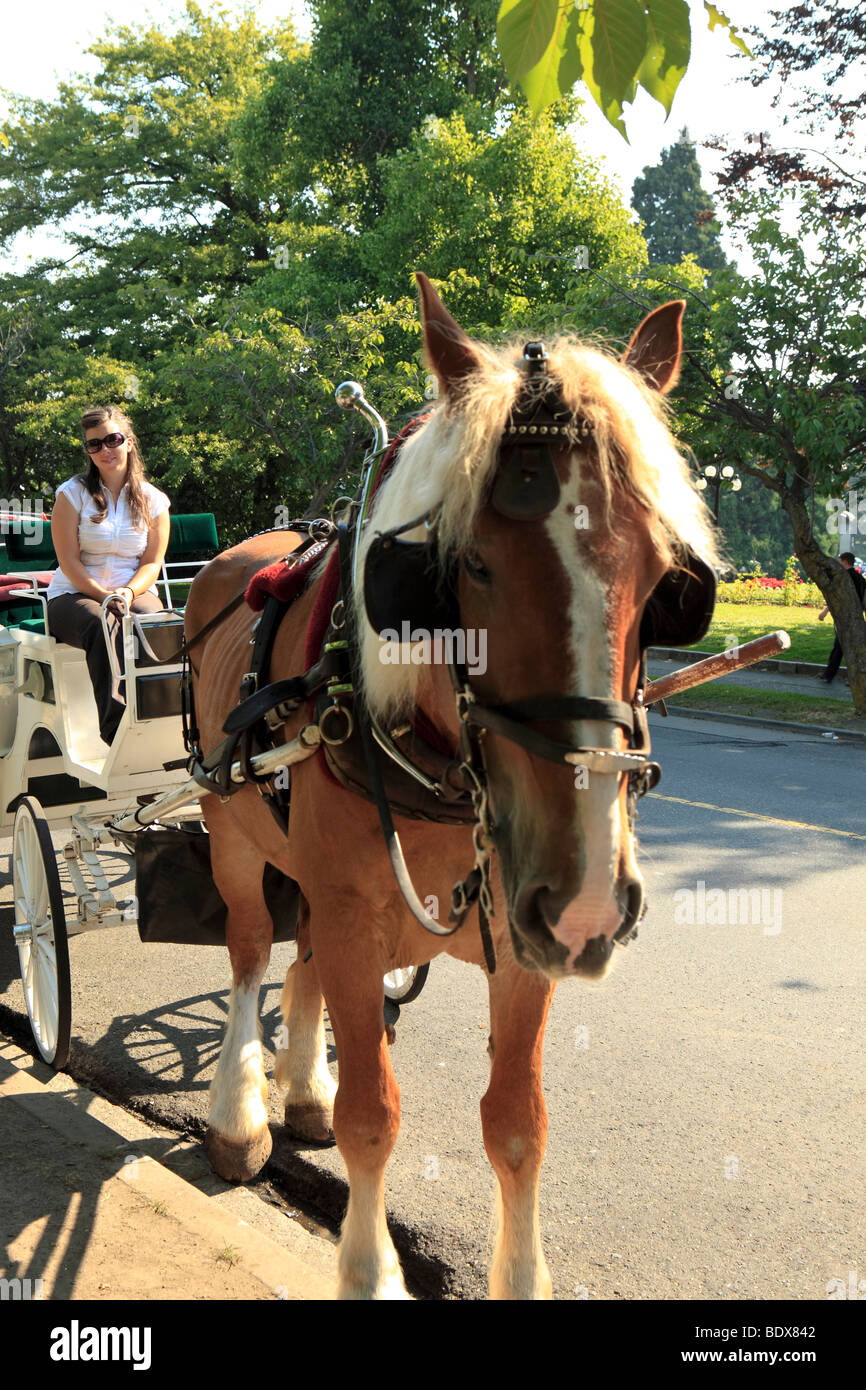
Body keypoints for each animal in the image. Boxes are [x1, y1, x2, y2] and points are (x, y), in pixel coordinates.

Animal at [184, 276, 717, 1295]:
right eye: (465, 565)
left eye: (670, 578)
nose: (591, 899)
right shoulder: (355, 913)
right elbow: (373, 1116)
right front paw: (369, 1268)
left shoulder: (522, 935)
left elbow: (517, 1127)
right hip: (229, 830)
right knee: (247, 952)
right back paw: (241, 1113)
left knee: (299, 955)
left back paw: (300, 1086)